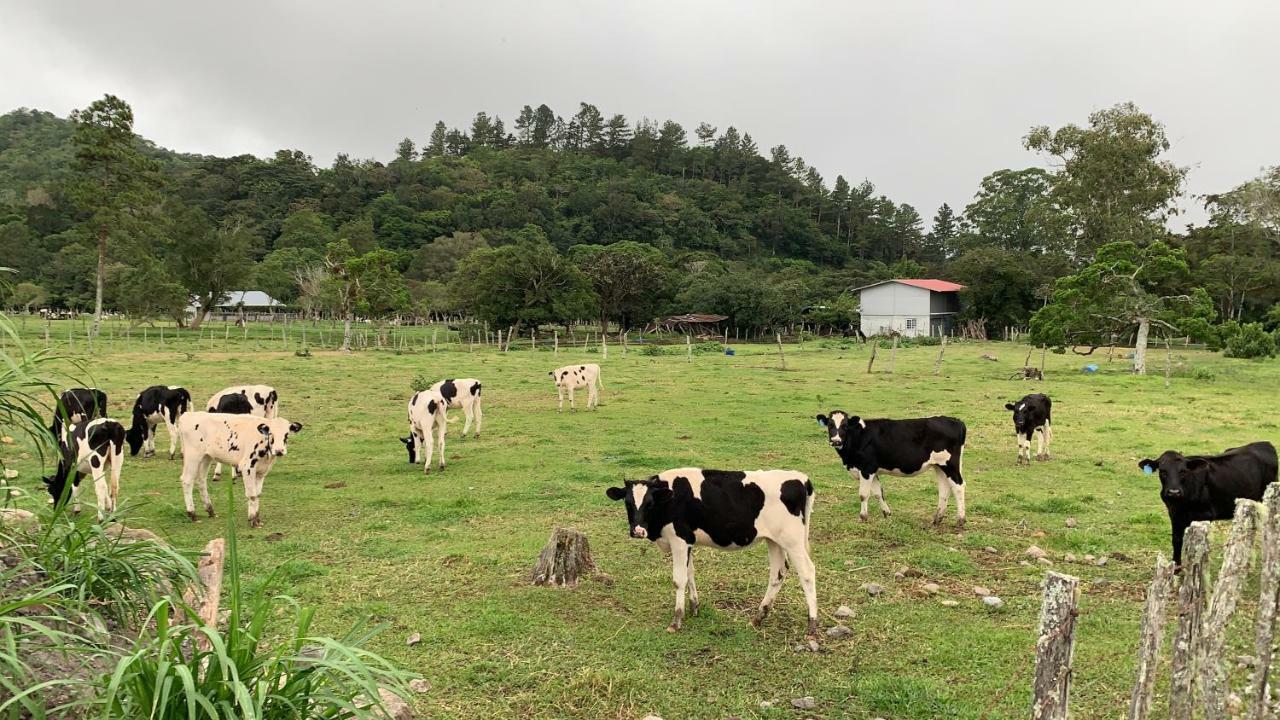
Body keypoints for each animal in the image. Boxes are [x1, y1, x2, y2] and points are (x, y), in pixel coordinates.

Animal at [601, 471, 819, 632]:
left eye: (650, 503)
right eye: (628, 503)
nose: (637, 531)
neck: (670, 499)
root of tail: (801, 478)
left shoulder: (679, 541)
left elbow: (679, 580)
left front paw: (676, 620)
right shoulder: (688, 542)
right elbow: (690, 574)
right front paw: (694, 608)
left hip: (793, 541)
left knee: (807, 572)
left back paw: (812, 625)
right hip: (774, 540)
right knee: (778, 574)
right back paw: (758, 617)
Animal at [819, 409, 967, 527]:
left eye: (845, 426)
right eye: (830, 425)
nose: (836, 441)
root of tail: (955, 420)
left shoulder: (866, 468)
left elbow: (863, 494)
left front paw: (863, 517)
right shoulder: (873, 471)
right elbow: (878, 493)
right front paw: (887, 513)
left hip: (950, 464)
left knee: (958, 486)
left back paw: (960, 519)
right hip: (939, 466)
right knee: (944, 489)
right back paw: (937, 519)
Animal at [1141, 440, 1280, 563]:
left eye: (1183, 471)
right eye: (1162, 471)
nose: (1174, 492)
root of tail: (1265, 443)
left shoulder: (1205, 515)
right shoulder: (1174, 513)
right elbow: (1177, 539)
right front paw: (1176, 566)